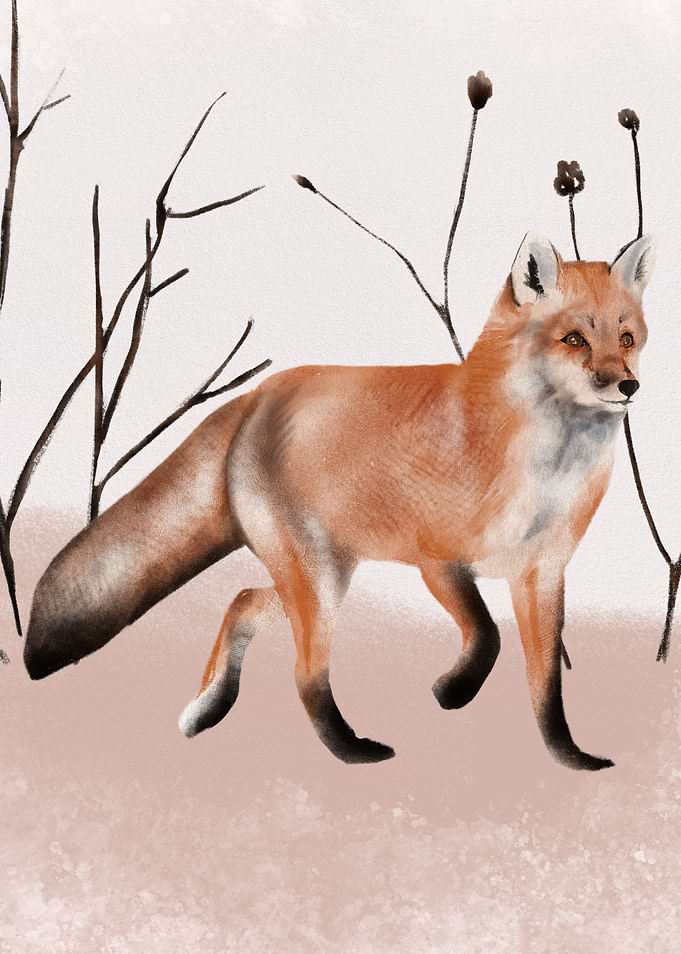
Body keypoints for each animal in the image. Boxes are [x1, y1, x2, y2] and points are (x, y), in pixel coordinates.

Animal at [23, 231, 655, 770]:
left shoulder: (541, 576)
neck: (543, 472)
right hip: (318, 580)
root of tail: (257, 393)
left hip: (317, 575)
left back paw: (209, 707)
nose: (628, 385)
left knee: (243, 599)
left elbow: (547, 688)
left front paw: (570, 759)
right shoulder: (437, 560)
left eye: (626, 339)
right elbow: (488, 636)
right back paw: (352, 752)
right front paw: (452, 692)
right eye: (574, 340)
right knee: (305, 675)